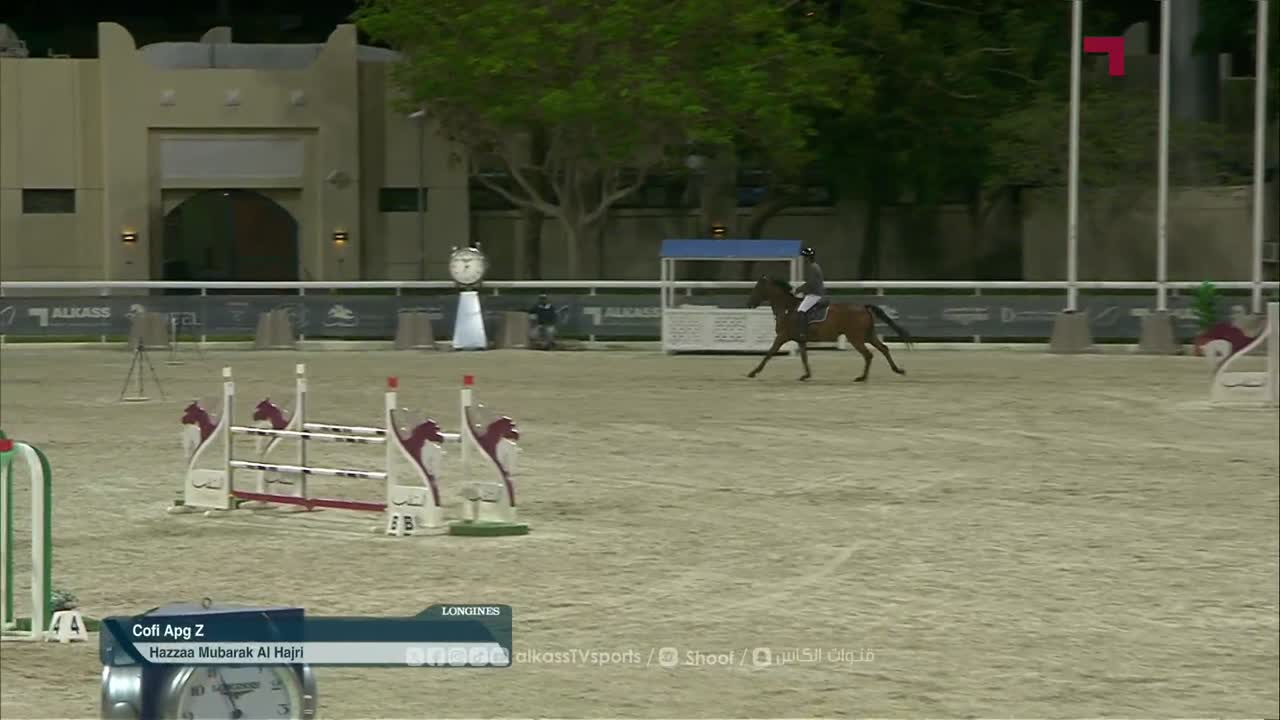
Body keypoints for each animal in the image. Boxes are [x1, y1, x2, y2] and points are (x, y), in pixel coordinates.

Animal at [745, 275, 913, 382]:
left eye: (758, 288)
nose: (749, 304)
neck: (788, 308)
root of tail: (863, 307)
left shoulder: (781, 337)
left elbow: (769, 354)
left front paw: (753, 372)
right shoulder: (800, 340)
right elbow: (804, 358)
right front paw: (806, 375)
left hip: (856, 338)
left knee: (868, 355)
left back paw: (862, 377)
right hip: (868, 336)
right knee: (883, 349)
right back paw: (897, 370)